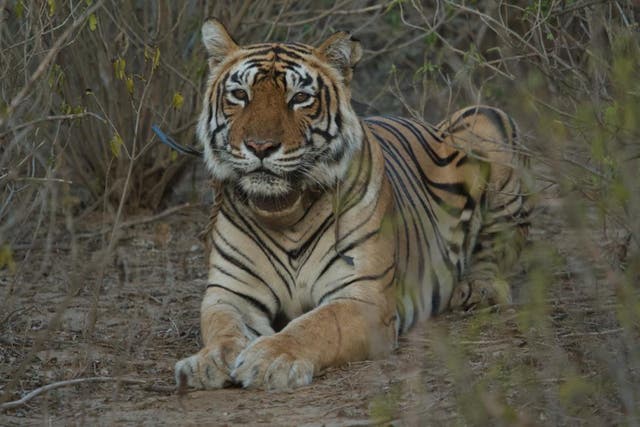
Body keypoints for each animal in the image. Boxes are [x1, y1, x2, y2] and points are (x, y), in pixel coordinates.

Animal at [175, 18, 528, 390]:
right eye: (241, 95)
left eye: (300, 98)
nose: (260, 146)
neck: (284, 212)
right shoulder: (230, 293)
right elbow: (224, 329)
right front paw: (206, 362)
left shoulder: (362, 296)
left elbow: (314, 326)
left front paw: (269, 359)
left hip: (486, 119)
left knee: (498, 247)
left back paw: (477, 289)